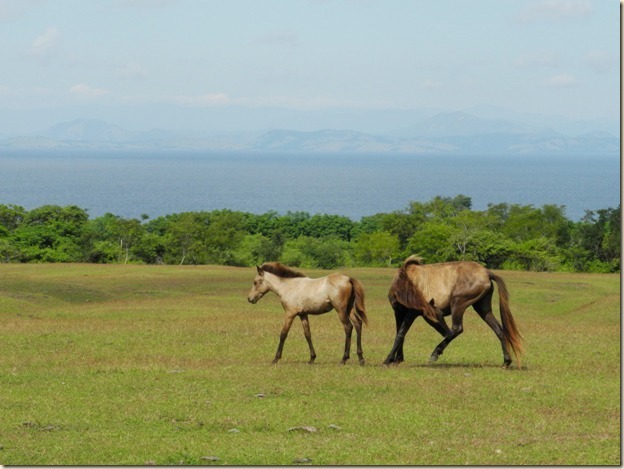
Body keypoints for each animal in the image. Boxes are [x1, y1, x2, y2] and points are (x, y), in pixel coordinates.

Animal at [382, 254, 524, 368]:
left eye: (440, 316)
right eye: (436, 318)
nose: (446, 333)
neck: (407, 281)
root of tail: (487, 273)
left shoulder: (412, 312)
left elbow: (401, 333)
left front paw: (388, 359)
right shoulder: (399, 312)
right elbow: (400, 333)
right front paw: (396, 359)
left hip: (458, 303)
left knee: (457, 329)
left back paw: (436, 352)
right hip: (482, 308)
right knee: (498, 329)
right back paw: (506, 361)